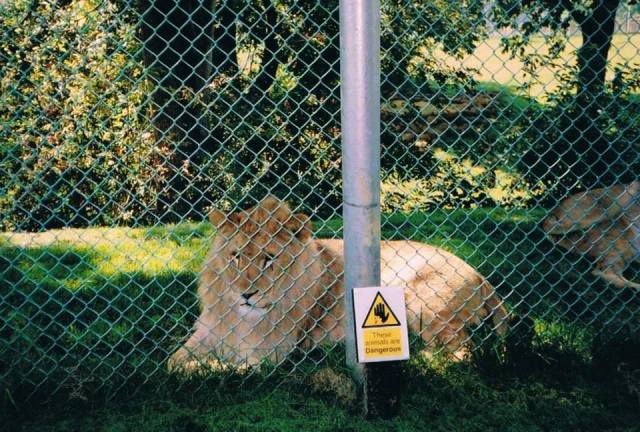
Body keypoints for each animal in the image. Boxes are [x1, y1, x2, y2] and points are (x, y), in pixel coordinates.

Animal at [168, 197, 508, 372]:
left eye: (269, 259)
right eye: (236, 257)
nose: (246, 294)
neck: (242, 319)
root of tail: (481, 277)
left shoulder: (271, 353)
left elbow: (224, 368)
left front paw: (203, 368)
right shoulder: (208, 332)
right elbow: (174, 361)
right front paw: (184, 366)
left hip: (424, 304)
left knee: (463, 351)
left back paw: (420, 360)